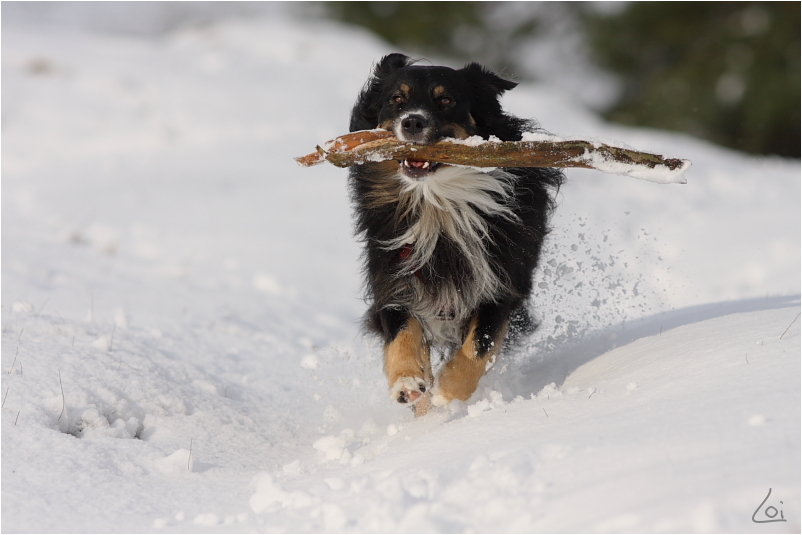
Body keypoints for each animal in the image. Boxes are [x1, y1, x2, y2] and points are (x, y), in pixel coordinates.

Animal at [346, 53, 564, 414]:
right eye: (397, 99)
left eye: (446, 100)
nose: (412, 122)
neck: (439, 203)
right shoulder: (394, 274)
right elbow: (401, 332)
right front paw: (408, 382)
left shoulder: (501, 281)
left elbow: (480, 344)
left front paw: (449, 390)